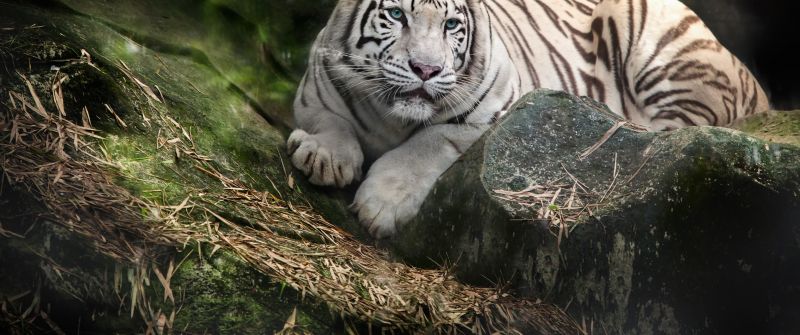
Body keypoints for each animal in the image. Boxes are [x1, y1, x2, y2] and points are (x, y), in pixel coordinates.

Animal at [288, 0, 768, 239]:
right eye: (396, 15)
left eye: (451, 25)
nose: (426, 69)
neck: (393, 114)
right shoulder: (315, 86)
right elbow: (329, 120)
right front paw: (324, 157)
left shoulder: (494, 109)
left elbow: (430, 142)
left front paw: (381, 206)